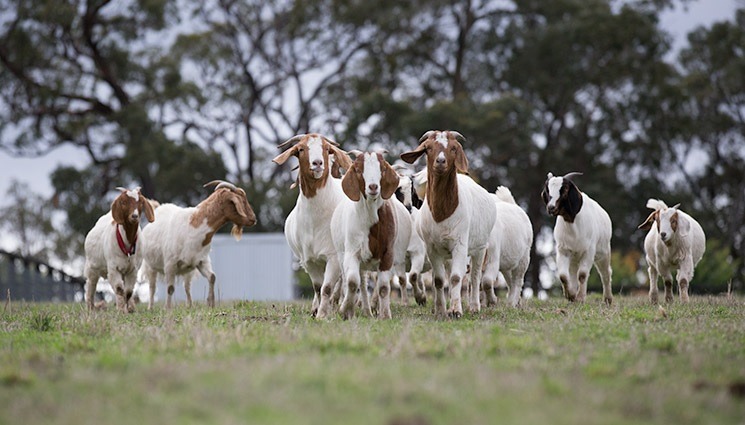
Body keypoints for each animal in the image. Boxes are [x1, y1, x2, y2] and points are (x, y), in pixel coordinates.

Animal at [139, 180, 256, 308]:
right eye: (241, 201)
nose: (253, 219)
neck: (192, 228)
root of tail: (157, 208)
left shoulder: (201, 260)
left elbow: (212, 277)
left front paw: (211, 303)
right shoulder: (170, 264)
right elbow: (170, 288)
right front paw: (168, 308)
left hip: (188, 270)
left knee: (187, 286)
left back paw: (190, 305)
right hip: (150, 266)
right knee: (152, 287)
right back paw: (150, 307)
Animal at [272, 133, 354, 318]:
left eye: (327, 148)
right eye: (301, 149)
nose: (317, 163)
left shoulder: (333, 257)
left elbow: (327, 287)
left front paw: (323, 314)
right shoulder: (309, 260)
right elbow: (317, 288)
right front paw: (318, 311)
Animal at [398, 129, 496, 318]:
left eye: (453, 148)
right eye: (428, 148)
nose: (441, 161)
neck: (442, 212)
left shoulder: (460, 244)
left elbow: (457, 277)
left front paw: (456, 310)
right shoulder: (432, 248)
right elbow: (438, 280)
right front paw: (441, 310)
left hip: (480, 248)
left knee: (474, 277)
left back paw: (474, 306)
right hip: (447, 255)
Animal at [540, 171, 612, 304]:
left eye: (564, 190)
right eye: (547, 190)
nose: (551, 208)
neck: (572, 224)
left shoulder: (589, 251)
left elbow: (582, 275)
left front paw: (580, 297)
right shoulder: (563, 250)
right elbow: (563, 276)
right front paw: (571, 295)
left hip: (603, 252)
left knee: (605, 273)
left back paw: (608, 299)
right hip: (574, 257)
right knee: (572, 273)